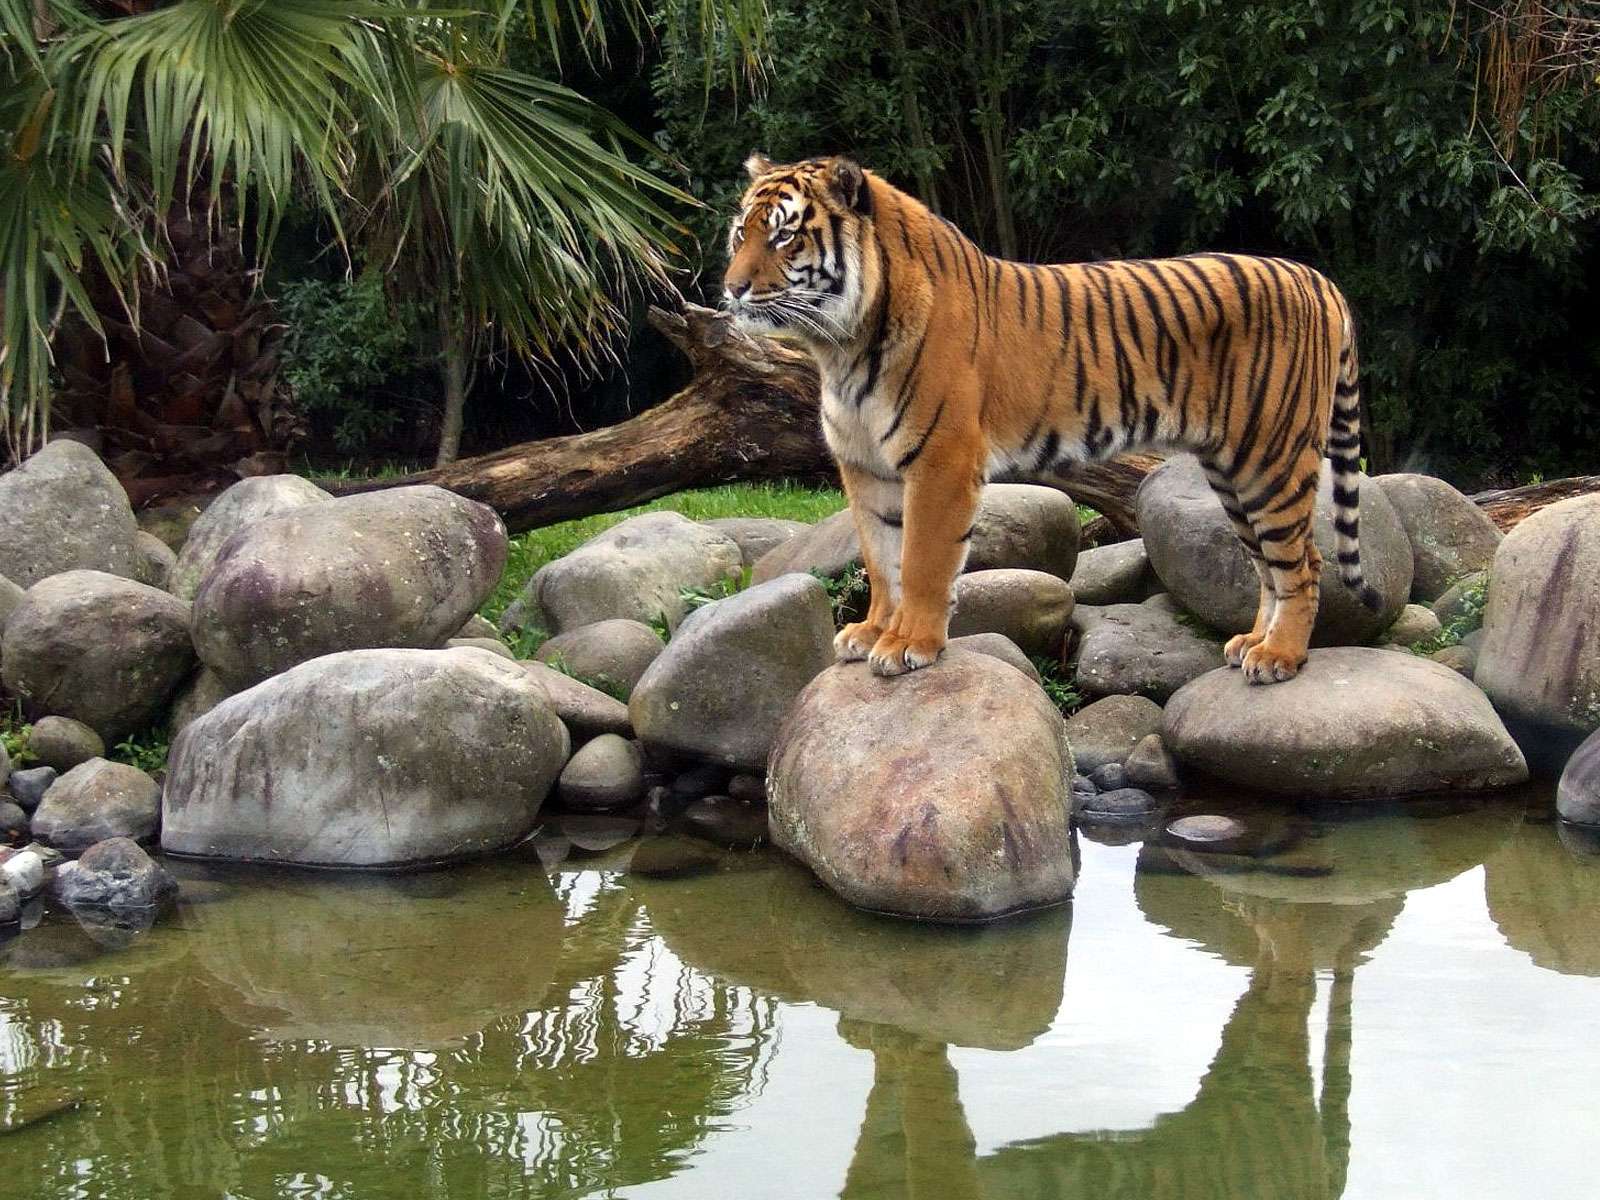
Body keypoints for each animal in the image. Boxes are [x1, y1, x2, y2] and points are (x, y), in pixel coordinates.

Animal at [721, 153, 1380, 684]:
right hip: (1232, 468)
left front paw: (910, 644)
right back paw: (1252, 642)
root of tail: (1315, 276)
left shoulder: (940, 460)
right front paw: (872, 633)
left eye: (784, 238)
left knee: (1304, 562)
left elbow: (923, 560)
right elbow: (882, 559)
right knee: (1267, 564)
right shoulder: (864, 466)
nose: (730, 290)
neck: (842, 346)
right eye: (739, 235)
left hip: (1271, 458)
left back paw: (1281, 657)